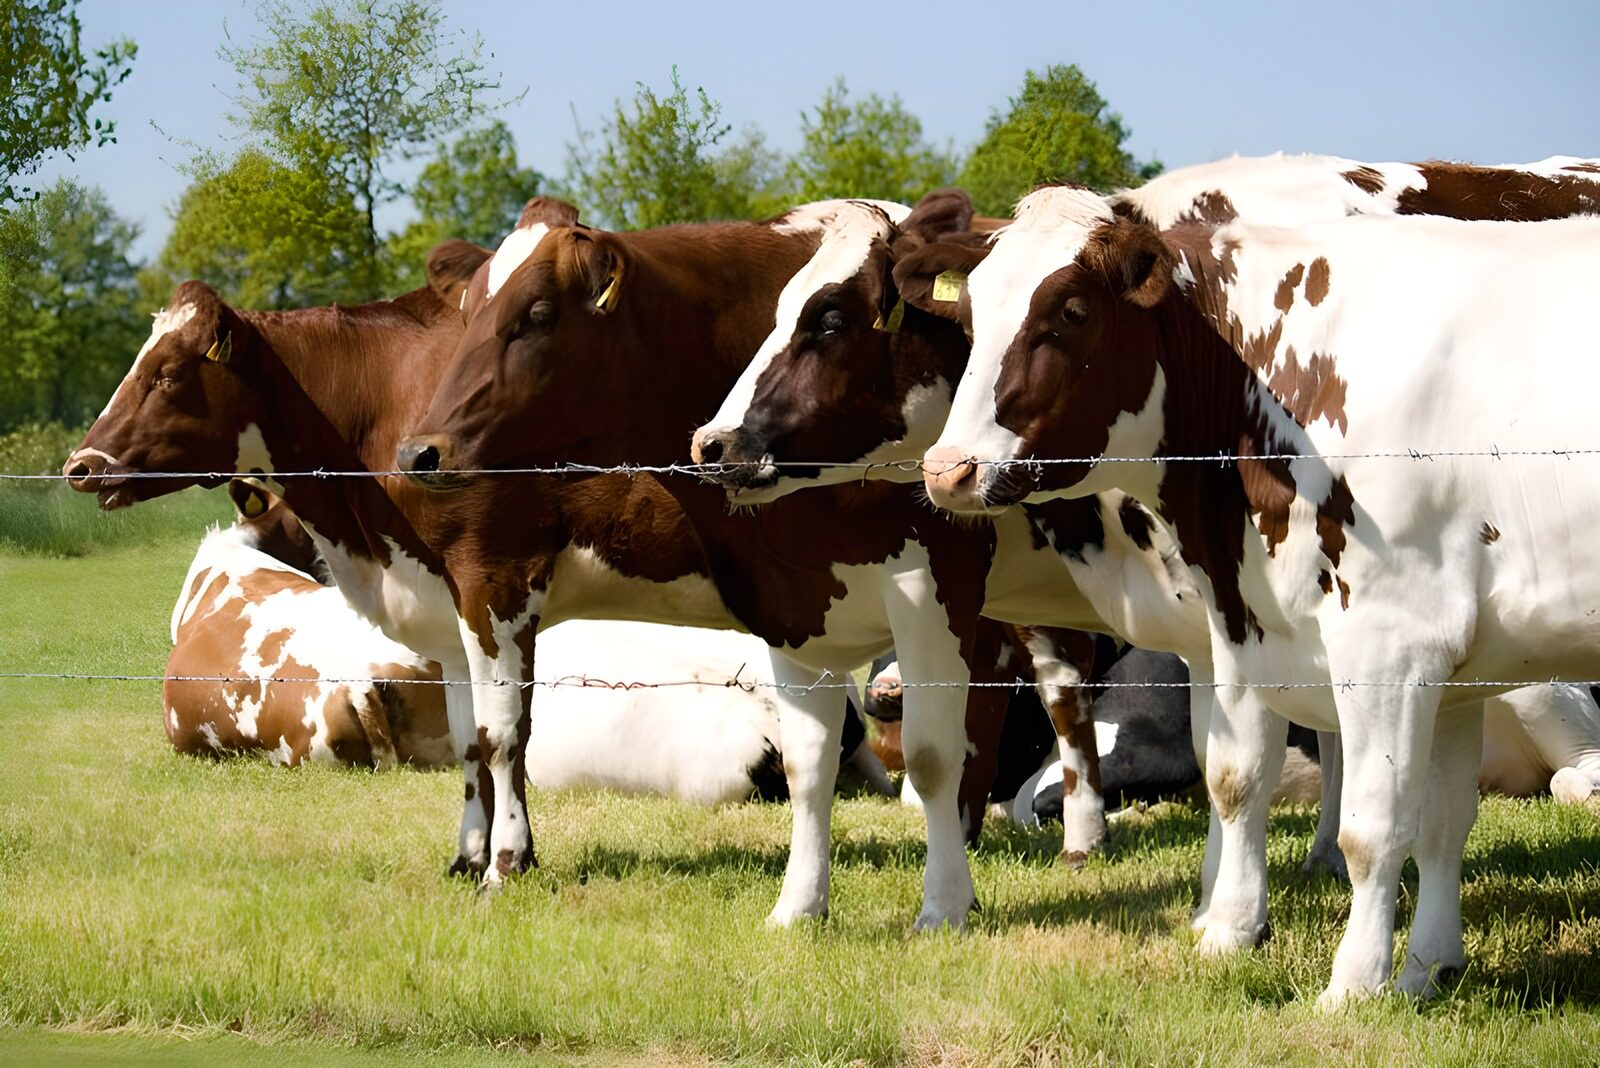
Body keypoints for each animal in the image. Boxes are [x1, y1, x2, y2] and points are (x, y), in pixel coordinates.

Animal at [911, 181, 1600, 1007]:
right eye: (972, 311)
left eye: (1071, 311)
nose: (947, 470)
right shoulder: (1401, 660)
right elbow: (1381, 812)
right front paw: (1417, 971)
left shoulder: (1392, 643)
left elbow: (1374, 828)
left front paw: (1356, 985)